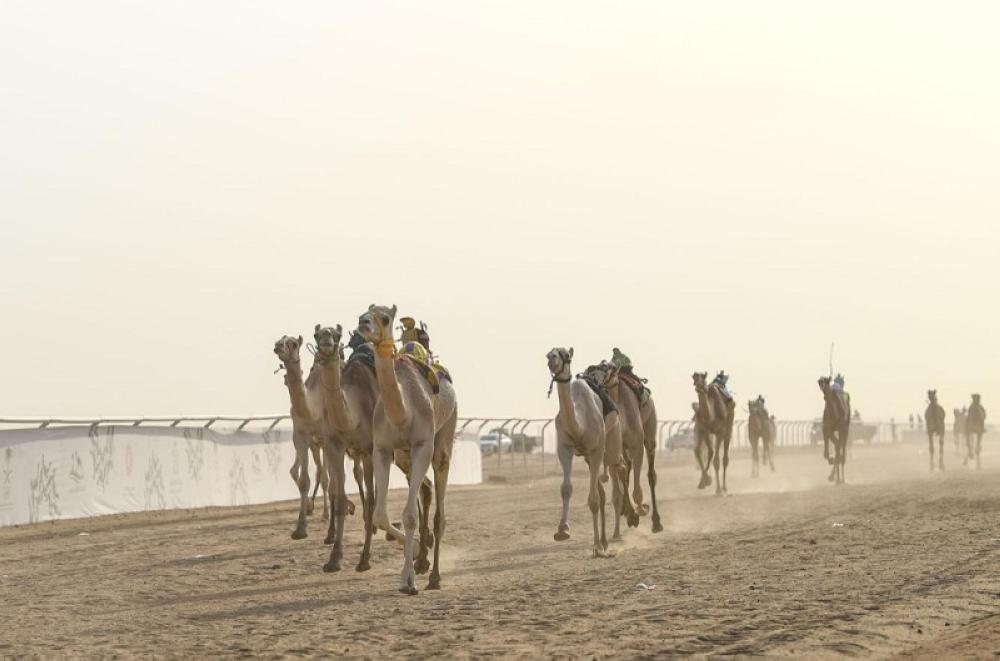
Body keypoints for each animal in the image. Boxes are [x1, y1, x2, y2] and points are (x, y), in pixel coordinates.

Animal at [274, 332, 332, 540]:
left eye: (293, 344)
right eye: (279, 340)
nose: (278, 347)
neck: (311, 410)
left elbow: (328, 480)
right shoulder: (300, 437)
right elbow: (304, 480)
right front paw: (300, 528)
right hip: (315, 445)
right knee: (318, 473)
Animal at [356, 304, 458, 592]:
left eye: (384, 318)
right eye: (364, 313)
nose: (363, 323)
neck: (404, 412)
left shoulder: (423, 444)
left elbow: (410, 515)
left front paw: (408, 580)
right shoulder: (382, 449)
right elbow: (380, 515)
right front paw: (412, 558)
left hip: (444, 435)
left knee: (439, 511)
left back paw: (434, 576)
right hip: (403, 456)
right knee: (425, 488)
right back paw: (422, 558)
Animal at [548, 348, 608, 556]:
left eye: (566, 354)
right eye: (549, 353)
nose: (552, 359)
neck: (579, 427)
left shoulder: (597, 450)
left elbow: (594, 500)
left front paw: (597, 546)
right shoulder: (564, 448)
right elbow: (566, 488)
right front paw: (562, 530)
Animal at [600, 364, 664, 532]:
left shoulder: (637, 445)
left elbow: (637, 490)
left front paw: (640, 510)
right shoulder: (612, 448)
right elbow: (620, 477)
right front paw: (630, 513)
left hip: (650, 426)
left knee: (651, 474)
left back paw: (656, 521)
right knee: (626, 467)